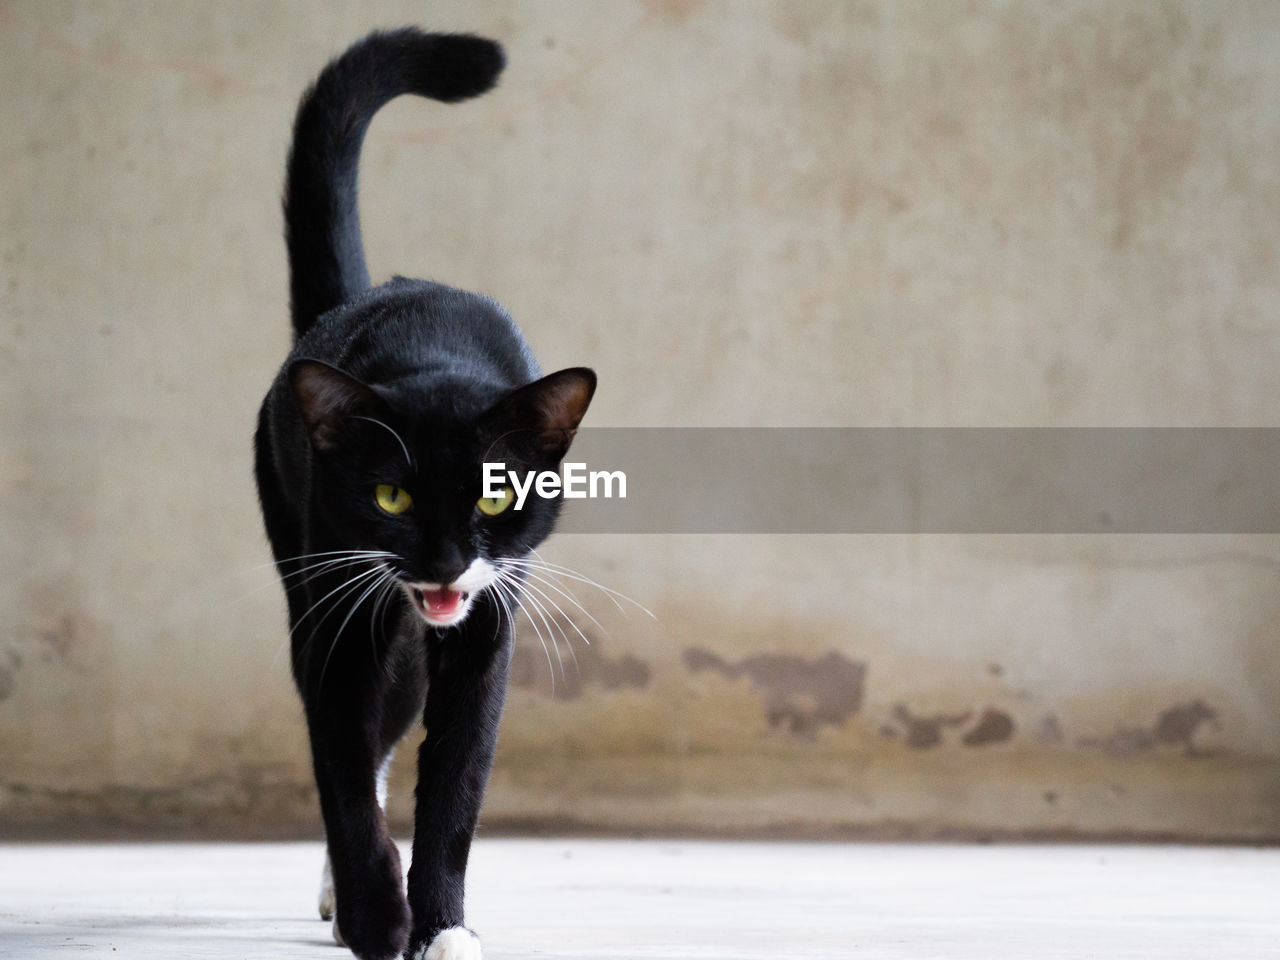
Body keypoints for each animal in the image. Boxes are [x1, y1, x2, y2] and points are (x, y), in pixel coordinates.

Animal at [252, 30, 596, 960]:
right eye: (392, 497)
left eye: (494, 498)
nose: (443, 562)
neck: (434, 354)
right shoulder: (338, 623)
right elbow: (340, 763)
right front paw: (379, 920)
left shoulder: (488, 627)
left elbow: (455, 785)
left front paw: (442, 927)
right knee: (358, 742)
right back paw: (344, 899)